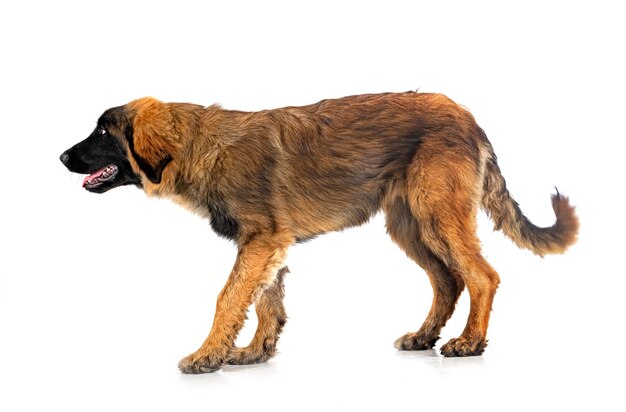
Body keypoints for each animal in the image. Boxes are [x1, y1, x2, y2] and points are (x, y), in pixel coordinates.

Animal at [58, 92, 576, 374]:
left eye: (102, 133)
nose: (61, 157)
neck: (202, 146)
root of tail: (467, 117)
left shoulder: (261, 241)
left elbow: (229, 297)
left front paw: (206, 355)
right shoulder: (268, 245)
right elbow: (265, 302)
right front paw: (256, 351)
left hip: (437, 216)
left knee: (482, 276)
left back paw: (469, 342)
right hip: (409, 225)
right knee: (448, 280)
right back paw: (424, 336)